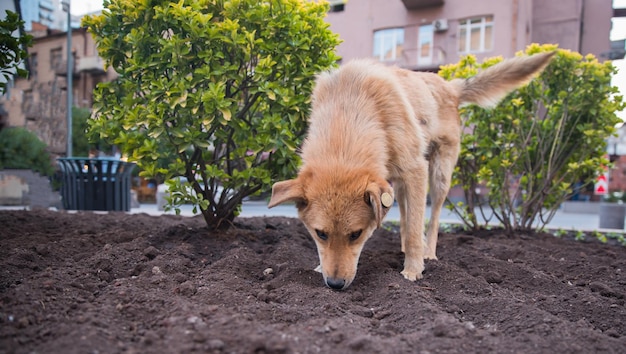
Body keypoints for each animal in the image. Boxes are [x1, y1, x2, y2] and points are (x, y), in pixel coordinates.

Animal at [266, 52, 552, 290]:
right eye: (320, 234)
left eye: (356, 234)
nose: (335, 284)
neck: (348, 110)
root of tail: (449, 86)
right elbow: (408, 222)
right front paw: (318, 266)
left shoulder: (416, 169)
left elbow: (416, 229)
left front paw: (413, 270)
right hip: (397, 184)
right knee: (405, 216)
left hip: (438, 175)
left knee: (431, 218)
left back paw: (428, 252)